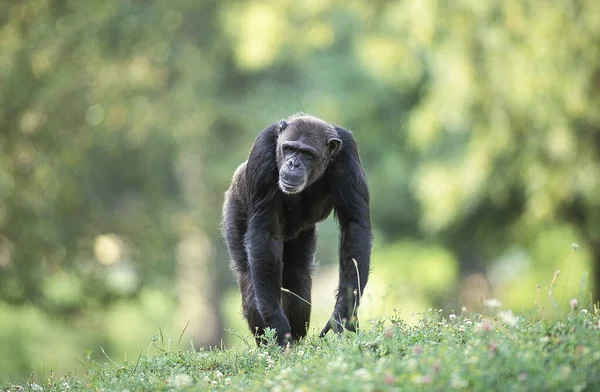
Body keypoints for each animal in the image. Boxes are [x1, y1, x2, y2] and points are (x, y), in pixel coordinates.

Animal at [221, 113, 370, 346]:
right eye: (289, 149)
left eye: (307, 154)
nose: (293, 163)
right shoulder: (263, 149)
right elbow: (265, 232)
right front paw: (276, 323)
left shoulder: (348, 153)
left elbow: (354, 223)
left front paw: (342, 314)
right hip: (235, 208)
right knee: (250, 279)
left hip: (302, 235)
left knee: (296, 277)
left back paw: (296, 340)